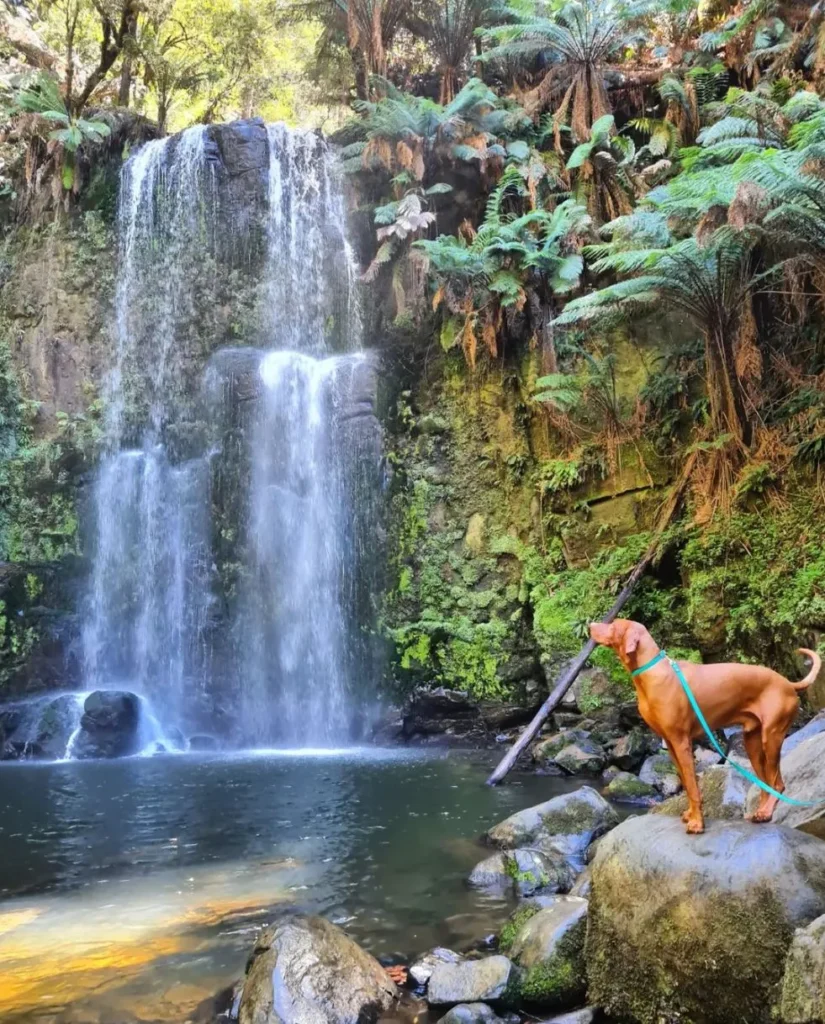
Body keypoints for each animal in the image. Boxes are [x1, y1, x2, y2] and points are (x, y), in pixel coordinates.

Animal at [589, 614, 822, 831]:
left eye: (613, 625)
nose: (590, 625)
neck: (652, 672)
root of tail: (788, 683)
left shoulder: (682, 742)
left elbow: (692, 786)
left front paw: (697, 823)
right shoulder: (670, 744)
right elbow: (685, 782)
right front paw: (690, 815)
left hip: (772, 737)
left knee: (778, 783)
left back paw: (765, 811)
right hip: (753, 743)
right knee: (766, 782)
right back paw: (761, 812)